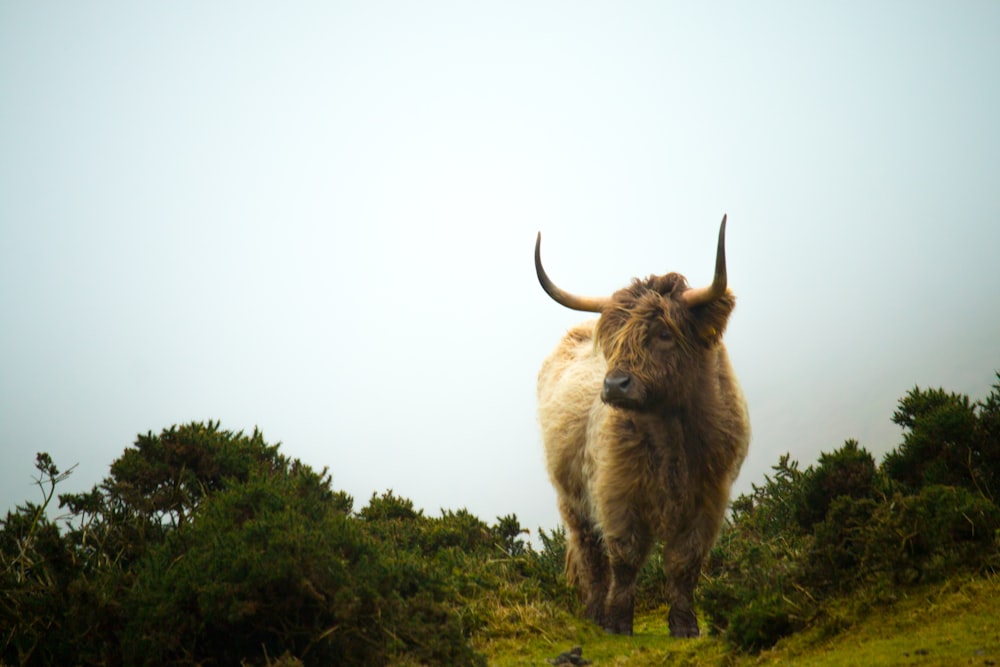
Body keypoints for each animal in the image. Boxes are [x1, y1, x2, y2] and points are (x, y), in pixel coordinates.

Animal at [536, 217, 748, 640]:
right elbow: (625, 558)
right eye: (613, 339)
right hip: (572, 498)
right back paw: (594, 613)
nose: (615, 385)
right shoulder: (616, 492)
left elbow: (685, 562)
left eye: (664, 334)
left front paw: (685, 626)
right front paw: (617, 623)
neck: (670, 435)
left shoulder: (709, 497)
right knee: (590, 554)